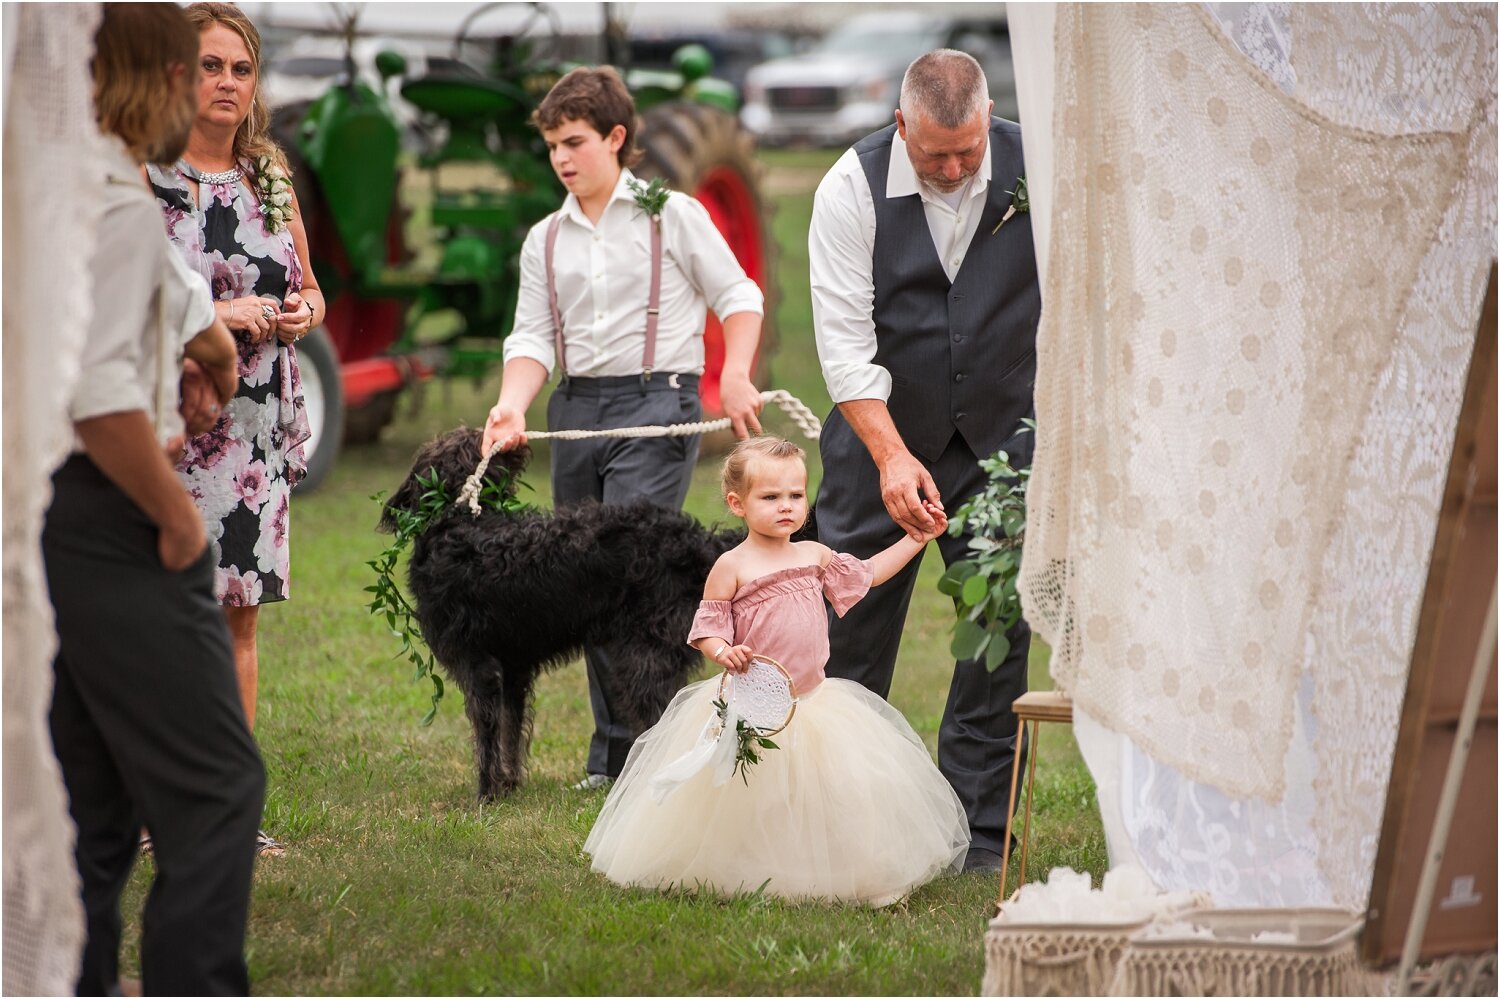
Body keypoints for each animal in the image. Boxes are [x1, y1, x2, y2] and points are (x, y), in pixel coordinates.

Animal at [381, 429, 744, 804]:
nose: (495, 434)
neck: (457, 521)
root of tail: (699, 540)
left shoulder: (480, 667)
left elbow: (486, 737)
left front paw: (486, 794)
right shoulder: (512, 669)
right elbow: (510, 731)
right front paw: (508, 785)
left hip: (643, 660)